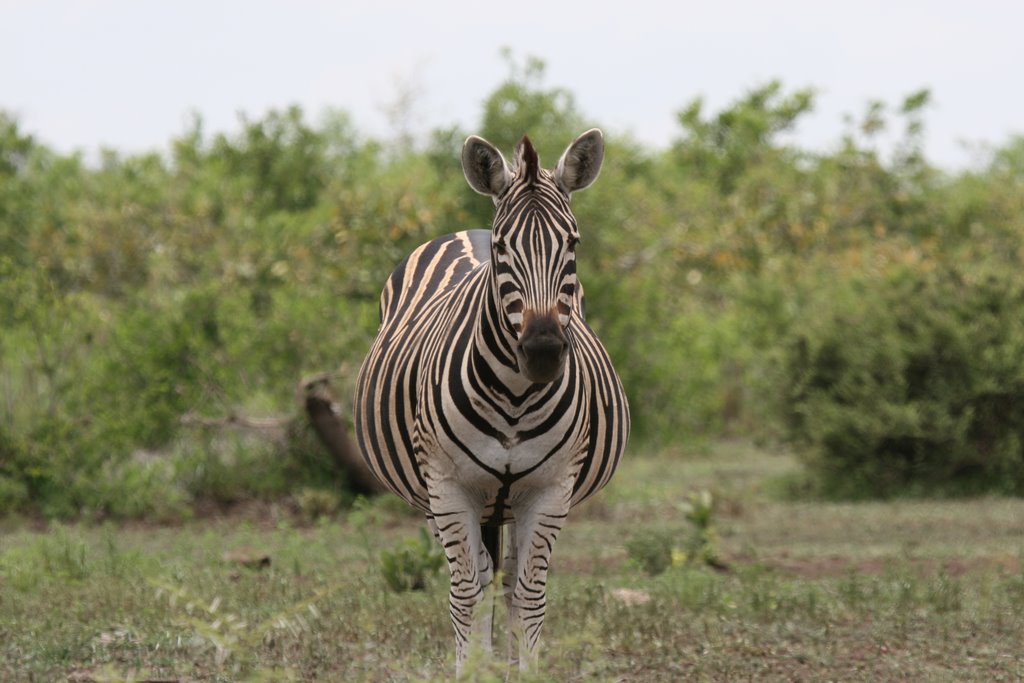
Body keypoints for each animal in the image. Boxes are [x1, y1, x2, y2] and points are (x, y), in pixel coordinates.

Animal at [352, 126, 626, 671]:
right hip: (443, 497)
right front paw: (472, 669)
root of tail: (468, 229)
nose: (543, 352)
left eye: (573, 243)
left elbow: (529, 597)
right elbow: (466, 596)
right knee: (477, 582)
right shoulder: (447, 488)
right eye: (502, 248)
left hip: (513, 503)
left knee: (510, 583)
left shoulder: (551, 490)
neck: (516, 400)